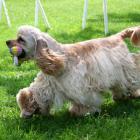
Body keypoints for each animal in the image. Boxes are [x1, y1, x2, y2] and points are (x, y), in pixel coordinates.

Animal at [6, 25, 140, 118]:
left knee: (132, 78)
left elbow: (85, 101)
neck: (57, 58)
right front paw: (27, 111)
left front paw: (82, 112)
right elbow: (33, 94)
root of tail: (117, 36)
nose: (6, 41)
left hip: (126, 69)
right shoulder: (46, 85)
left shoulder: (80, 87)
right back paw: (121, 96)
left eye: (21, 39)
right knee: (120, 86)